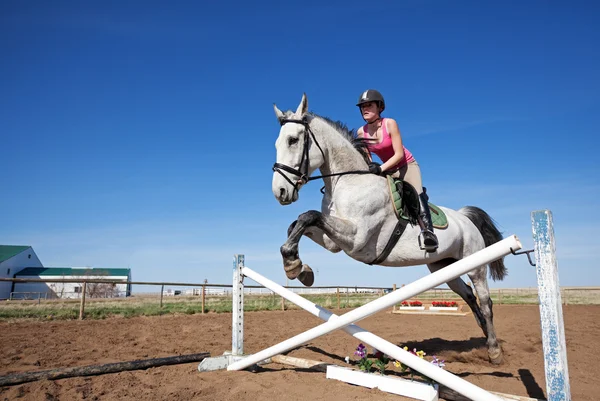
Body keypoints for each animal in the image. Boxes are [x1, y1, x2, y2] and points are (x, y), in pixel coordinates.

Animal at [272, 93, 510, 362]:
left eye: (293, 140)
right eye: (277, 143)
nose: (280, 192)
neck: (349, 181)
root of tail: (464, 217)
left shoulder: (356, 239)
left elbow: (308, 216)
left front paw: (294, 264)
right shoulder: (334, 241)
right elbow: (299, 222)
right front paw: (299, 267)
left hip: (476, 265)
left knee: (485, 301)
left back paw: (494, 351)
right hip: (443, 266)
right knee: (469, 295)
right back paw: (485, 337)